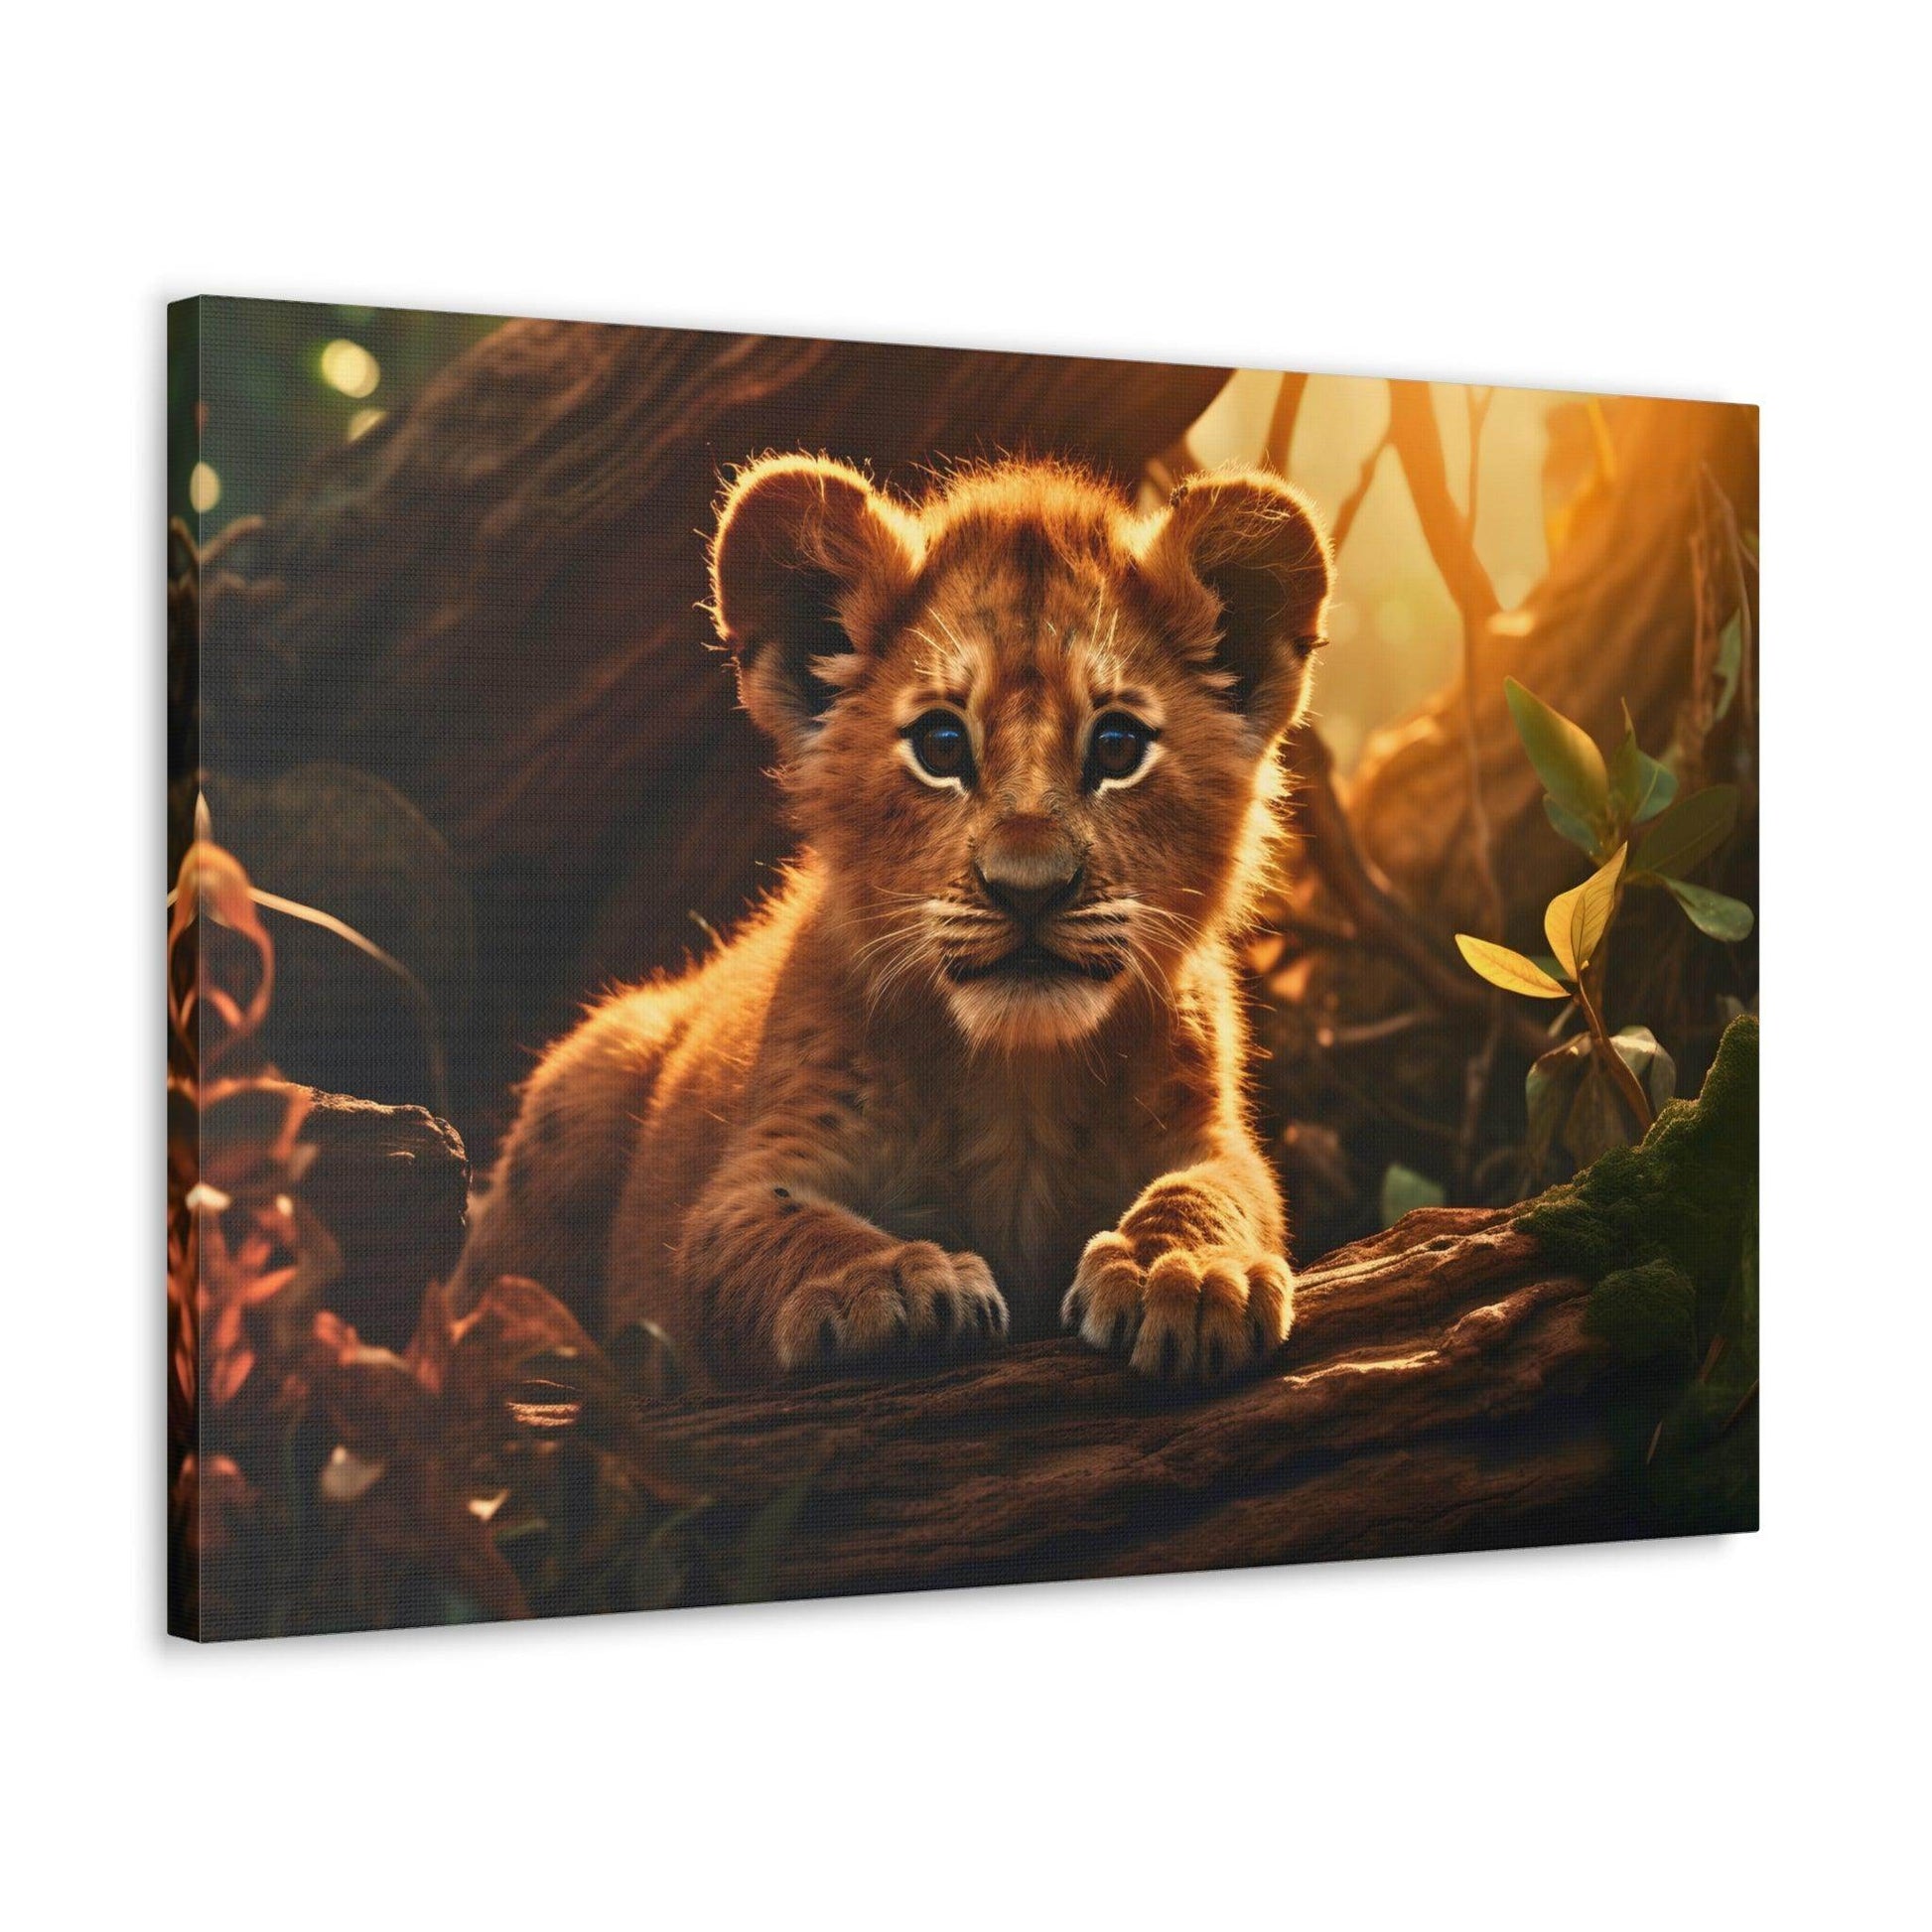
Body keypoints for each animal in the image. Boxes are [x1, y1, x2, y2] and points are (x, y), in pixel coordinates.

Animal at [451, 453, 1333, 1385]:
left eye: (1118, 747)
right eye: (942, 747)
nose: (1028, 888)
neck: (1018, 1081)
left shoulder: (1209, 1135)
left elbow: (1213, 1191)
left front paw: (1188, 1271)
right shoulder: (747, 1179)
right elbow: (785, 1228)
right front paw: (890, 1282)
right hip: (590, 1073)